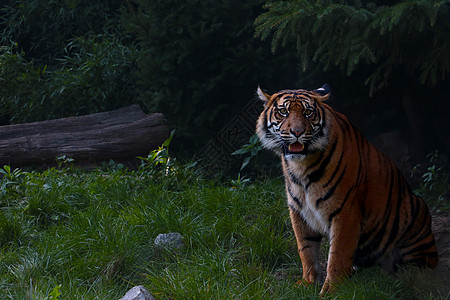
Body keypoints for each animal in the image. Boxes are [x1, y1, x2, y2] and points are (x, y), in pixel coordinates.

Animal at [256, 83, 440, 294]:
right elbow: (306, 250)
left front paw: (332, 290)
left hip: (415, 215)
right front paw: (308, 283)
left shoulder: (345, 210)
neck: (301, 167)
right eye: (284, 112)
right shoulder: (298, 211)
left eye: (308, 113)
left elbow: (338, 254)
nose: (297, 132)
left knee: (420, 266)